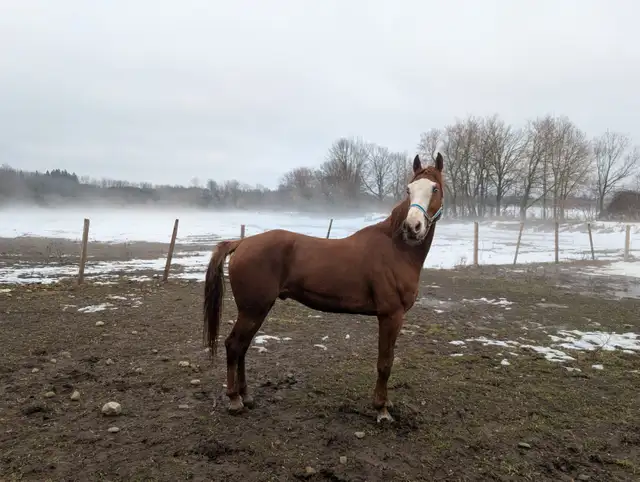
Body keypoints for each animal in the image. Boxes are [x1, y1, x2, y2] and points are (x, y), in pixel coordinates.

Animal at [203, 152, 444, 423]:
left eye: (434, 188)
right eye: (409, 190)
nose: (412, 227)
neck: (396, 249)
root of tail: (242, 243)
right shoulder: (390, 316)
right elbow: (385, 363)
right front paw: (381, 409)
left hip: (256, 310)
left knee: (242, 347)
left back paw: (246, 396)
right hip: (253, 310)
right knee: (234, 345)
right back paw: (235, 400)